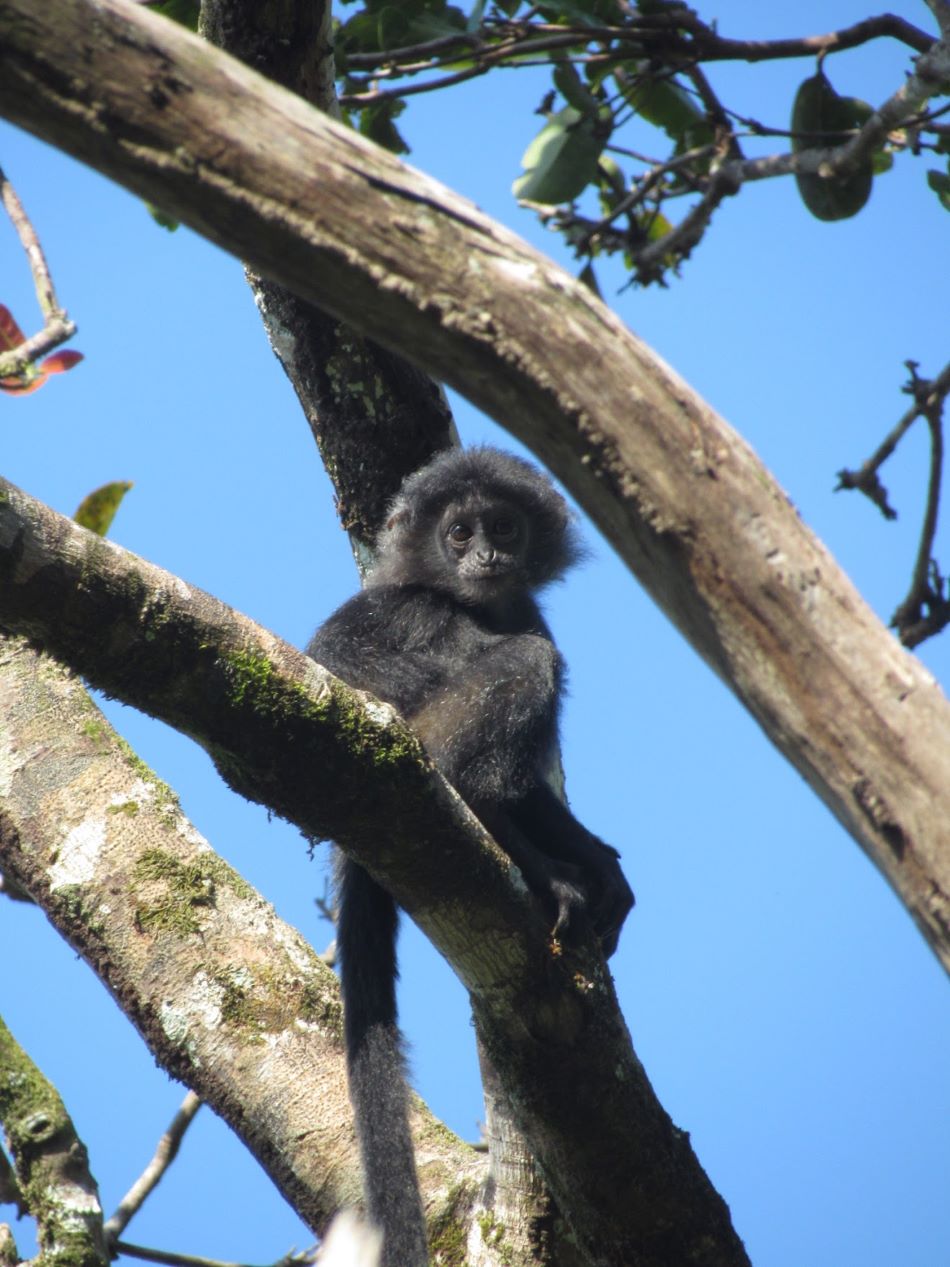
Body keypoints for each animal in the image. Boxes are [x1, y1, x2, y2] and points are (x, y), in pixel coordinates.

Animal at [309, 448, 635, 1267]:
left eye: (504, 529)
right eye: (459, 532)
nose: (487, 557)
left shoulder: (520, 605)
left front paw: (602, 864)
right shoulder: (398, 607)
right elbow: (332, 659)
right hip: (430, 733)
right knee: (519, 677)